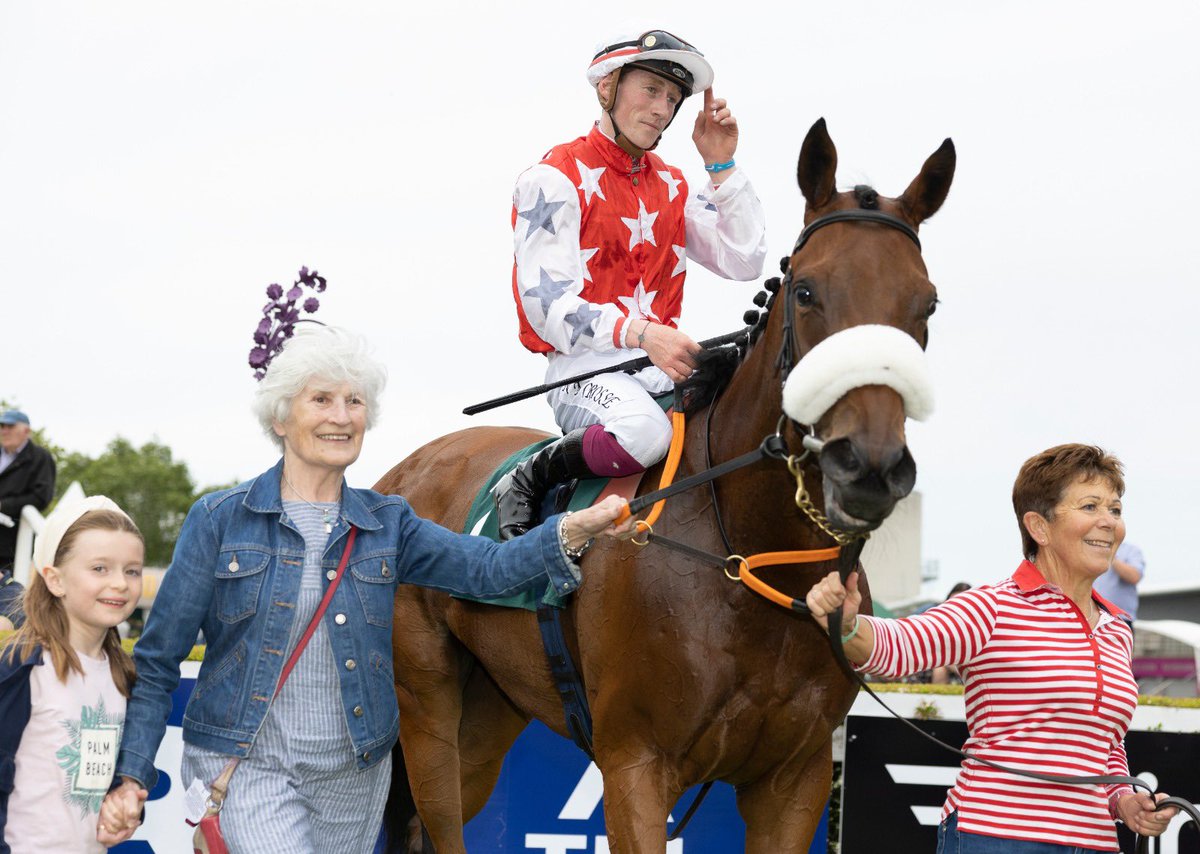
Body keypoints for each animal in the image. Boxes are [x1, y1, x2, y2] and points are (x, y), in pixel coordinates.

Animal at [374, 118, 955, 854]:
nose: (870, 468)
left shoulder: (794, 780)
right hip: (428, 710)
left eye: (927, 302)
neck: (745, 556)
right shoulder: (636, 764)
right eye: (807, 291)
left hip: (490, 710)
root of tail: (403, 473)